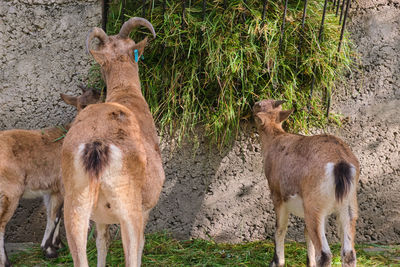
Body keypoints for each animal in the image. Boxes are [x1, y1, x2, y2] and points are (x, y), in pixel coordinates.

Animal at [61, 17, 164, 266]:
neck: (127, 95)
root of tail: (97, 145)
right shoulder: (145, 208)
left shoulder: (99, 216)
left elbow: (102, 242)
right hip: (128, 206)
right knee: (132, 254)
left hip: (75, 205)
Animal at [255, 100, 360, 267]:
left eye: (256, 105)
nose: (253, 103)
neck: (274, 141)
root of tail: (341, 164)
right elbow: (306, 233)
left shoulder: (277, 194)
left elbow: (280, 228)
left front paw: (276, 261)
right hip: (348, 205)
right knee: (349, 253)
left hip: (314, 206)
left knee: (324, 254)